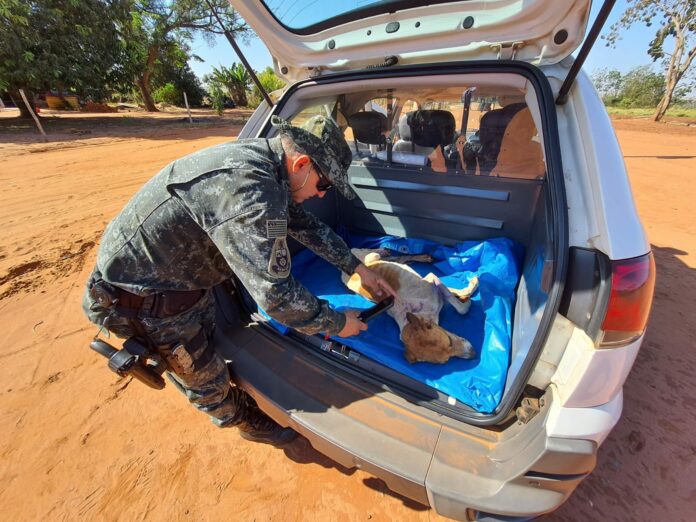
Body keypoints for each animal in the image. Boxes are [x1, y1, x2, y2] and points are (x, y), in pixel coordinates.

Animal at [342, 249, 478, 364]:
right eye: (446, 360)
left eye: (449, 340)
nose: (474, 354)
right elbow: (461, 306)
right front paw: (466, 297)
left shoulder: (432, 279)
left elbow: (459, 304)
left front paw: (469, 290)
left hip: (371, 257)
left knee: (383, 254)